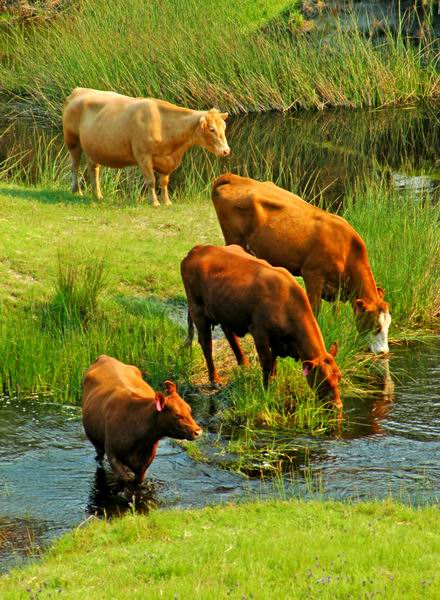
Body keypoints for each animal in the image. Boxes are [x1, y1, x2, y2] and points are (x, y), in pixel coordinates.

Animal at [64, 88, 232, 207]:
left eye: (224, 127)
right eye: (211, 129)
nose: (226, 150)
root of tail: (79, 90)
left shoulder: (166, 161)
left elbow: (164, 182)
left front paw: (167, 202)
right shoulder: (143, 155)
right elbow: (151, 180)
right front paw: (155, 202)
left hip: (92, 148)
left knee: (93, 170)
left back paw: (97, 195)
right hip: (73, 142)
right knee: (74, 166)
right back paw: (77, 191)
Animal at [180, 244, 342, 408]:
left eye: (340, 377)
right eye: (324, 382)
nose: (338, 406)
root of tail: (199, 248)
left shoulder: (277, 341)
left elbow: (274, 362)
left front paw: (273, 382)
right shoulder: (260, 333)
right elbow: (266, 363)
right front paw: (266, 390)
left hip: (225, 309)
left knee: (228, 333)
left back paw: (244, 363)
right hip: (197, 309)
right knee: (206, 344)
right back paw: (214, 379)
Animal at [211, 173, 390, 354]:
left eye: (388, 325)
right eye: (376, 327)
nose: (384, 352)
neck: (347, 248)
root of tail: (234, 177)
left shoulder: (336, 287)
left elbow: (336, 311)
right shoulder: (312, 274)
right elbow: (314, 309)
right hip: (234, 238)